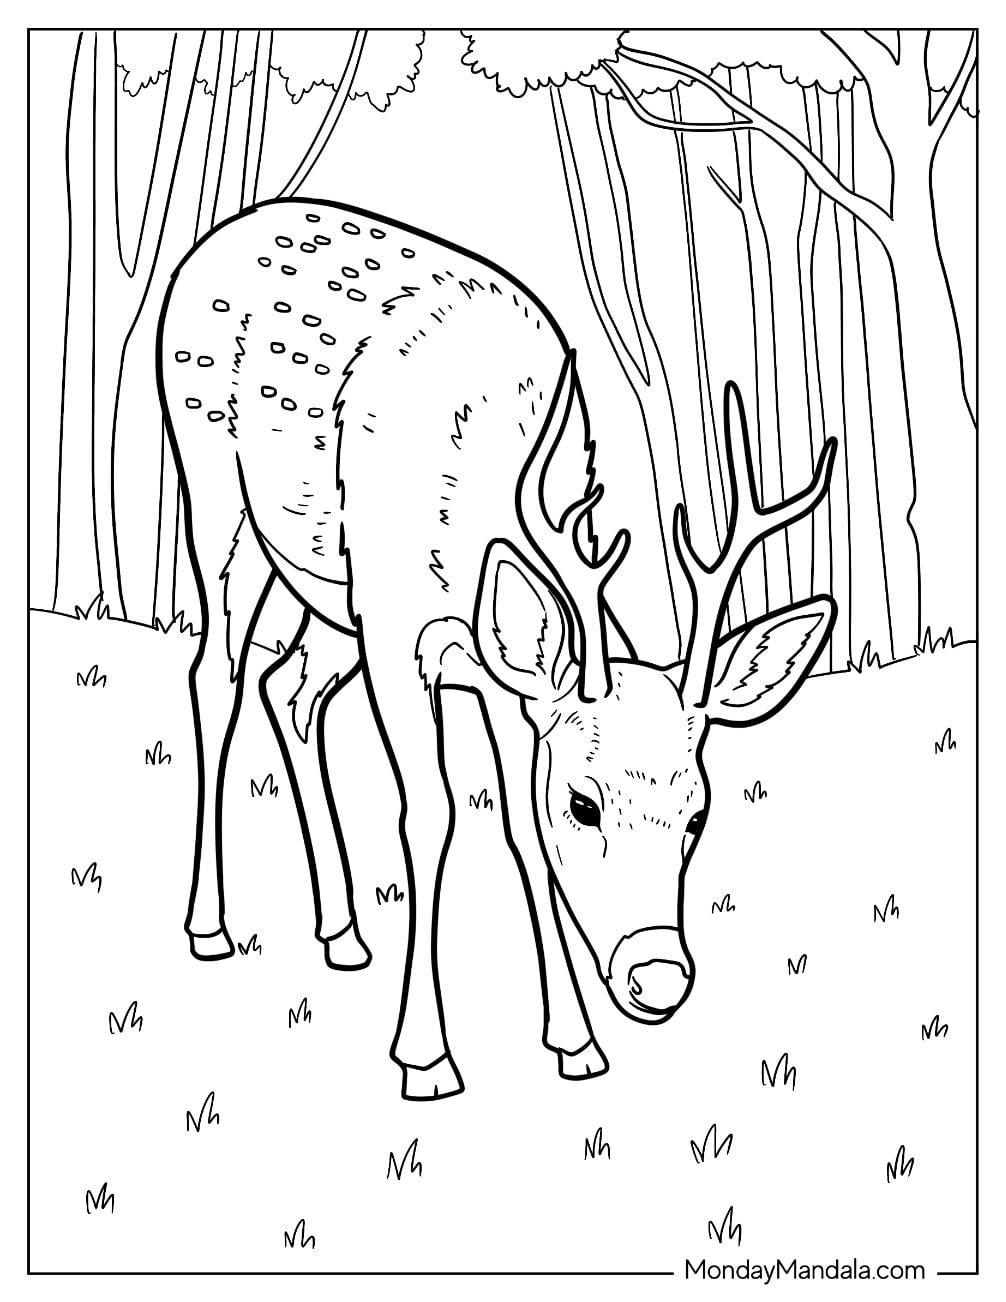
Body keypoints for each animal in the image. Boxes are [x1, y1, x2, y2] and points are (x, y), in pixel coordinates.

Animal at [157, 197, 836, 1101]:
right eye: (585, 804)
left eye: (698, 813)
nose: (658, 979)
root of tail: (222, 236)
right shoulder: (398, 632)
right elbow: (430, 814)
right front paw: (426, 1056)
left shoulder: (507, 682)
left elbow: (518, 825)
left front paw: (576, 1043)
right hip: (219, 500)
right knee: (216, 675)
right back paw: (210, 927)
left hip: (330, 596)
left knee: (292, 692)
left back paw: (343, 933)